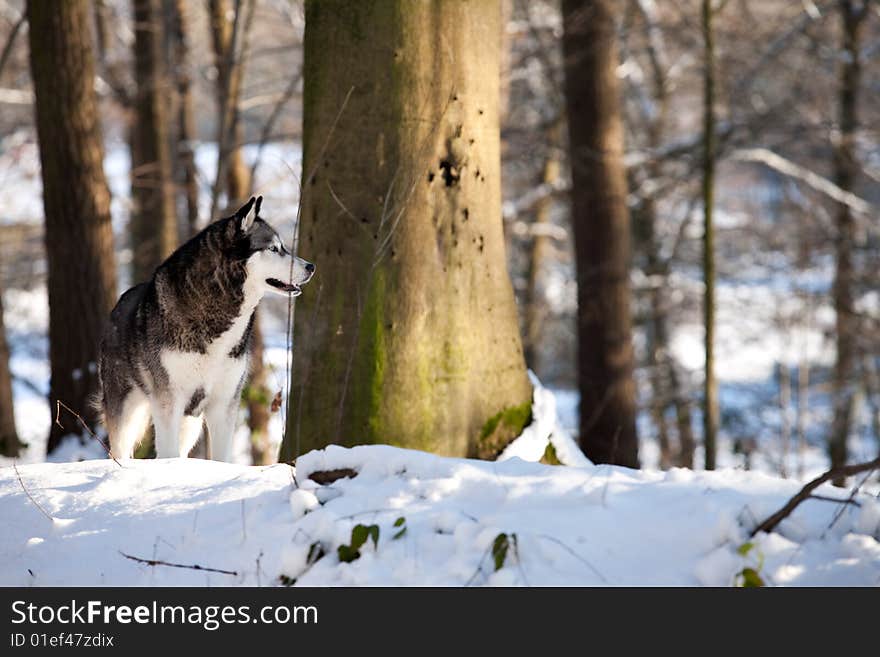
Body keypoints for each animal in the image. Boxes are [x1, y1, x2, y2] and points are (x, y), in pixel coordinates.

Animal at [99, 197, 314, 458]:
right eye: (274, 248)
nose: (311, 267)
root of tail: (116, 307)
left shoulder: (225, 404)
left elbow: (222, 459)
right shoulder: (169, 402)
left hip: (191, 423)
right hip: (126, 414)